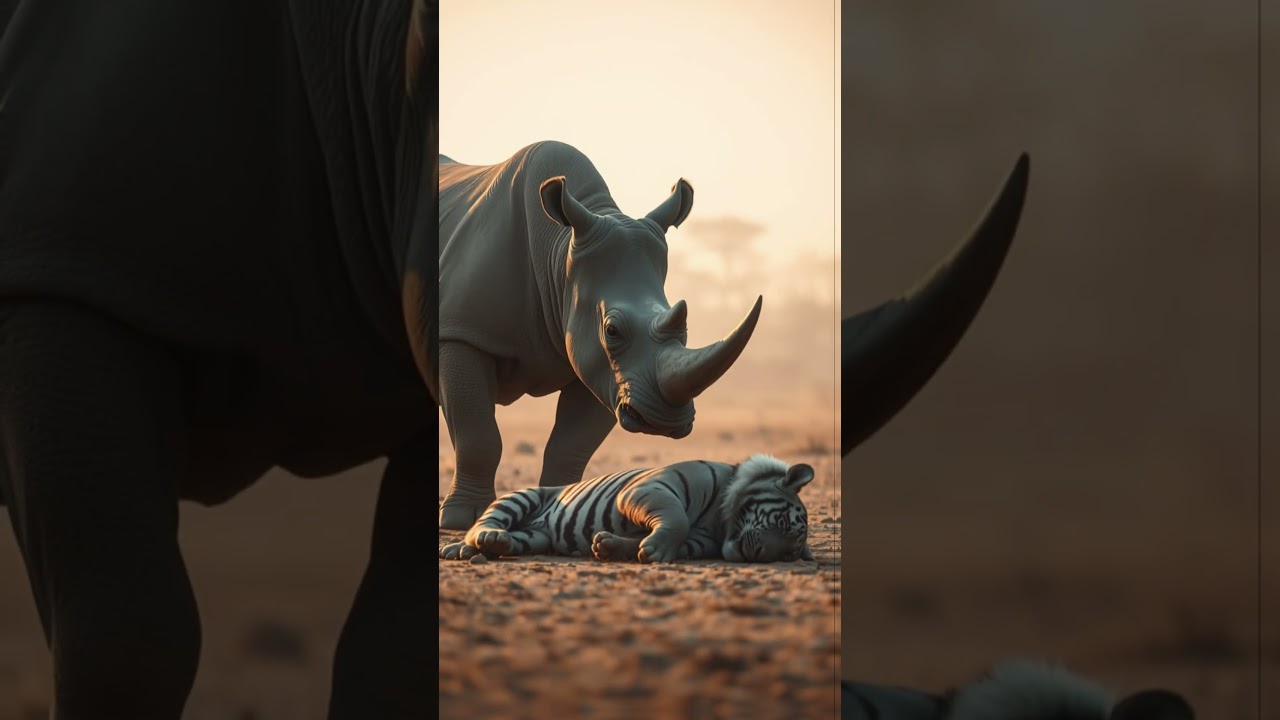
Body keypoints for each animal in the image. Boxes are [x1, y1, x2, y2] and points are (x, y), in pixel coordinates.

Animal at [438, 454, 815, 564]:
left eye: (787, 554)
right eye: (782, 522)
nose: (759, 555)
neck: (721, 524)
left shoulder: (699, 542)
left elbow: (649, 539)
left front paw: (611, 547)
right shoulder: (652, 488)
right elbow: (676, 518)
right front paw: (657, 552)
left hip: (535, 537)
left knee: (512, 539)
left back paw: (490, 546)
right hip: (523, 496)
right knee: (483, 523)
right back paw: (474, 543)